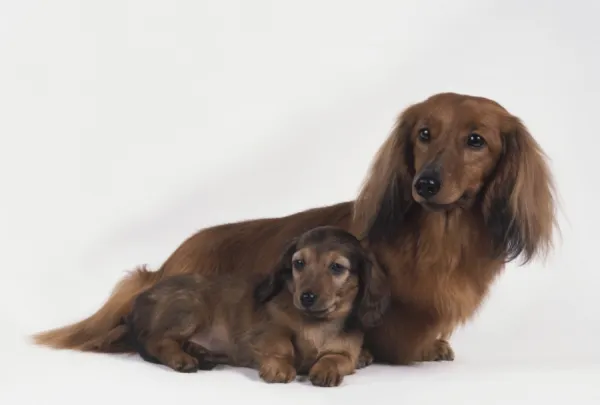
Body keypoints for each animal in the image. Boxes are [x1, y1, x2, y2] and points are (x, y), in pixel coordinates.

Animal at [124, 226, 392, 386]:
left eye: (337, 267)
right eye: (299, 263)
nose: (306, 297)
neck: (316, 324)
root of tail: (142, 297)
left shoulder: (345, 350)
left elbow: (336, 358)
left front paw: (327, 369)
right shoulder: (266, 330)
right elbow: (282, 345)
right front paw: (279, 367)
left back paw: (201, 353)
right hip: (192, 306)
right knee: (157, 340)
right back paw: (183, 358)